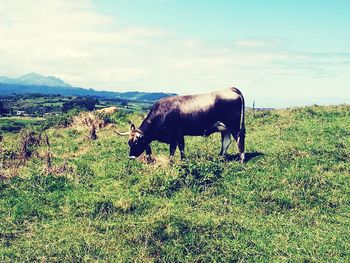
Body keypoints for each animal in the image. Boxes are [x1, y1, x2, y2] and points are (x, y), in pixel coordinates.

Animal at [117, 87, 246, 164]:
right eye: (129, 143)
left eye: (136, 143)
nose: (131, 157)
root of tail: (230, 89)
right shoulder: (179, 135)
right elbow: (181, 148)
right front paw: (183, 161)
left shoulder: (175, 135)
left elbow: (174, 150)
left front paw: (173, 163)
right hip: (225, 128)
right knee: (226, 141)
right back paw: (220, 158)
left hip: (234, 125)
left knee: (239, 139)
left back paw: (241, 160)